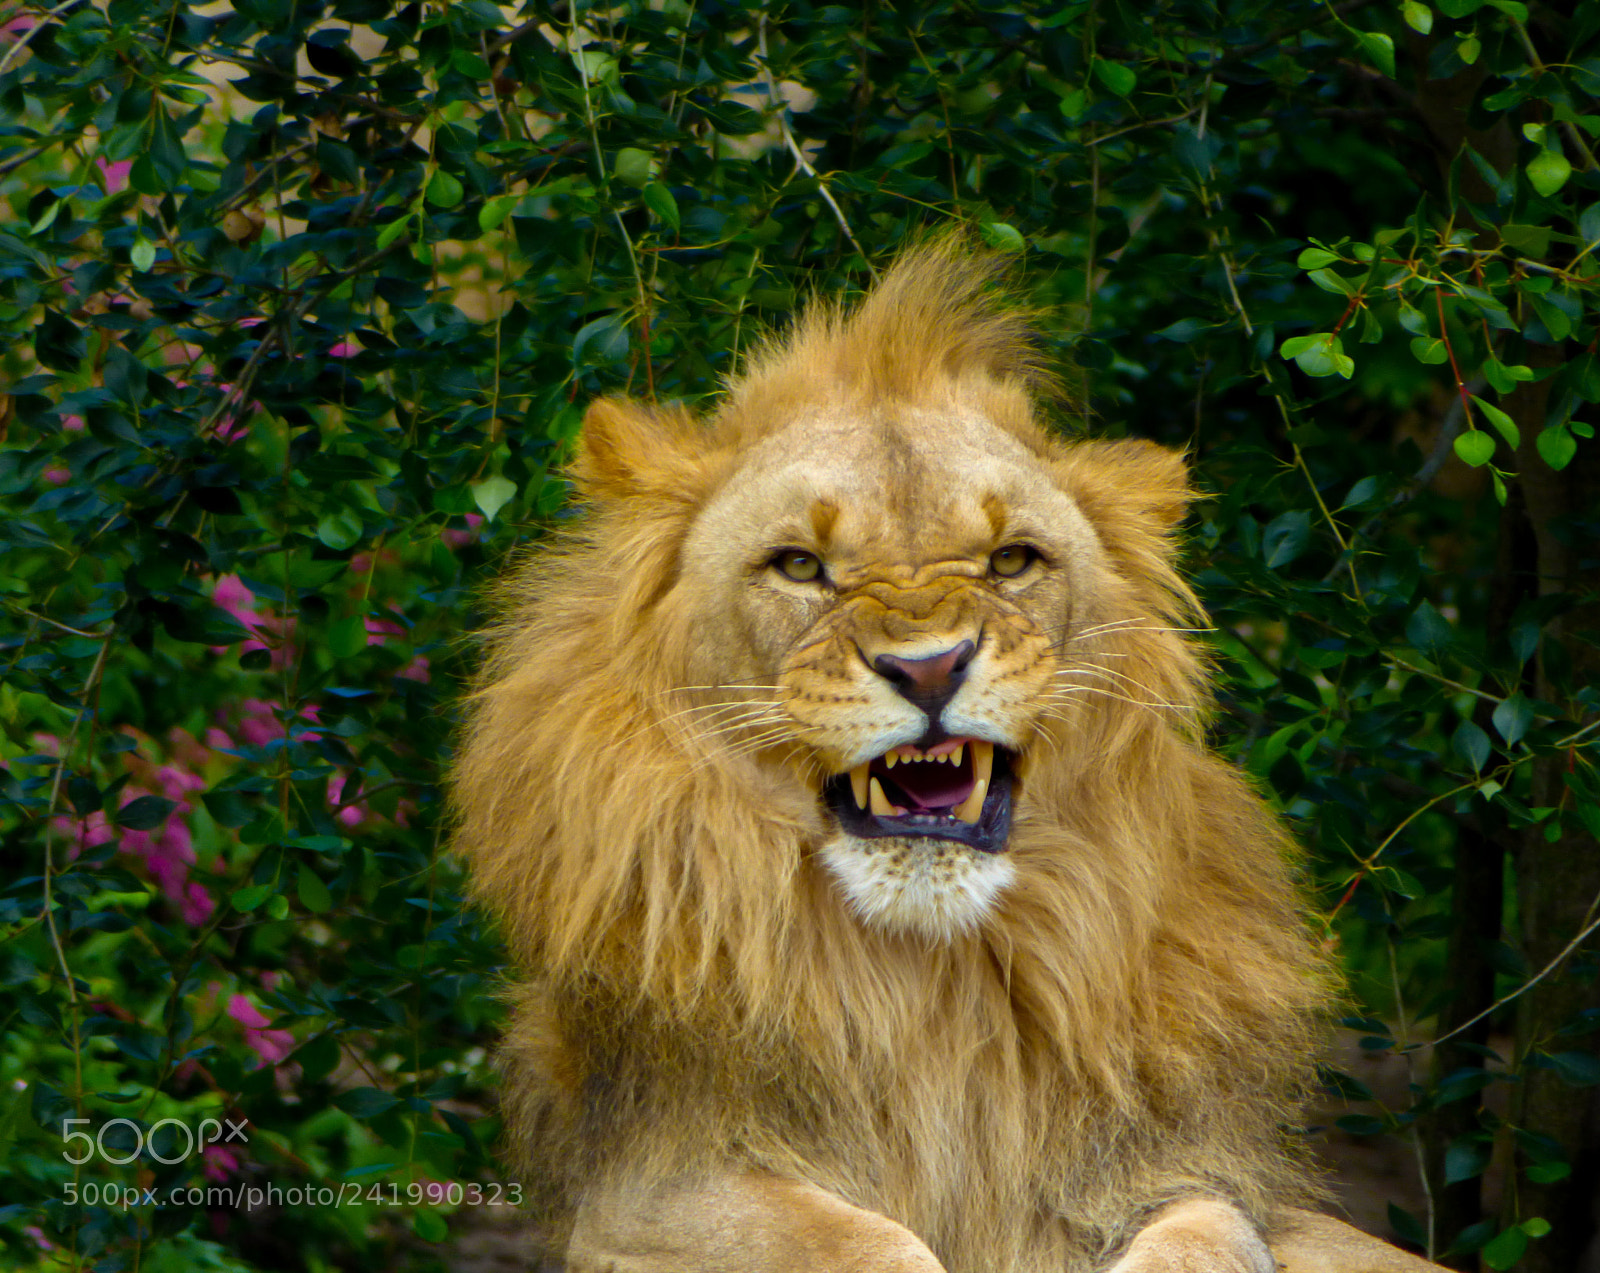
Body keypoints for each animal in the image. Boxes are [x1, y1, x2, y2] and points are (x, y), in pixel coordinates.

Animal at [449, 239, 1443, 1273]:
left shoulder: (1184, 1171)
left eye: (1011, 561)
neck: (938, 981)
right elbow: (867, 1245)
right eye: (799, 565)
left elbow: (1201, 1240)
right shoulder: (647, 1192)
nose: (928, 667)